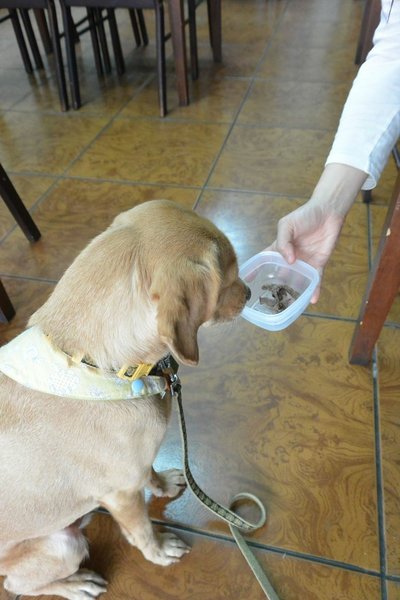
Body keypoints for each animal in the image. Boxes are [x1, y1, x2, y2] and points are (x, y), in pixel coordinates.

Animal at [0, 199, 250, 596]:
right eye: (229, 277)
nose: (251, 293)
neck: (98, 366)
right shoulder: (121, 495)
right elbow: (142, 532)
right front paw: (160, 552)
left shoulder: (136, 467)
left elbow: (149, 471)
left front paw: (162, 485)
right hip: (62, 545)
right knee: (21, 585)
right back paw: (77, 585)